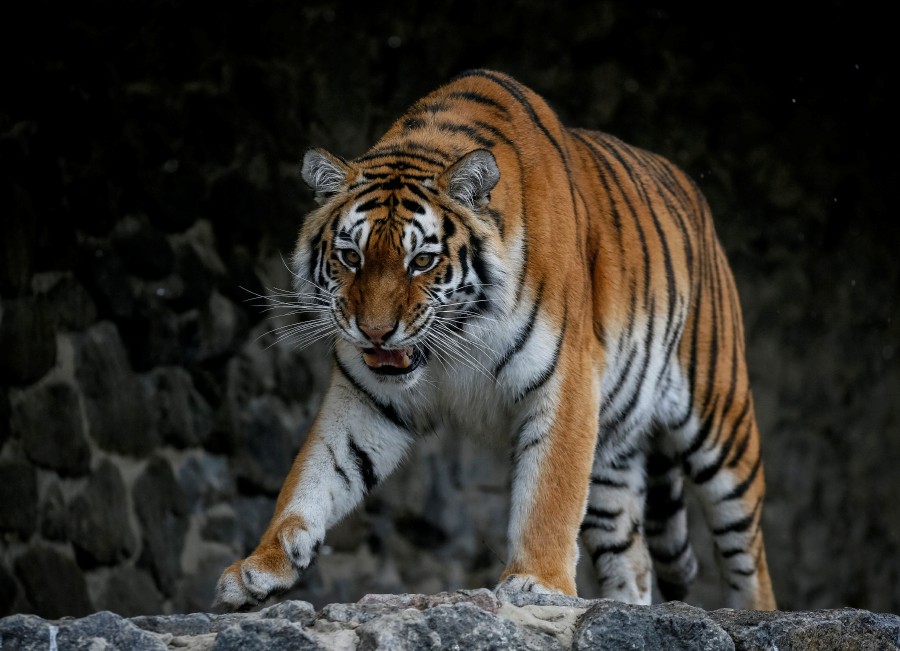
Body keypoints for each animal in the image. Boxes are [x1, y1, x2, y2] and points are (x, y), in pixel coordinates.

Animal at [214, 69, 776, 612]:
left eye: (422, 260)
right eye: (351, 257)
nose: (374, 331)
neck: (457, 339)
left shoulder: (567, 384)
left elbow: (549, 496)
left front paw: (537, 584)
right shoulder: (366, 399)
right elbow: (314, 474)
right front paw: (261, 565)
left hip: (722, 427)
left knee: (748, 557)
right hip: (613, 457)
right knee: (632, 559)